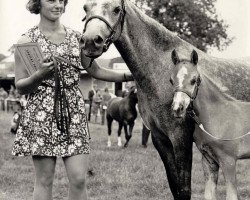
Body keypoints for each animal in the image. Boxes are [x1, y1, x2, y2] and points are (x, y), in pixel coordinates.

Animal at [170, 49, 250, 200]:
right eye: (171, 80)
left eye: (194, 80)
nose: (178, 108)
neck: (217, 114)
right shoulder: (208, 160)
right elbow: (209, 195)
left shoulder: (228, 160)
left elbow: (231, 196)